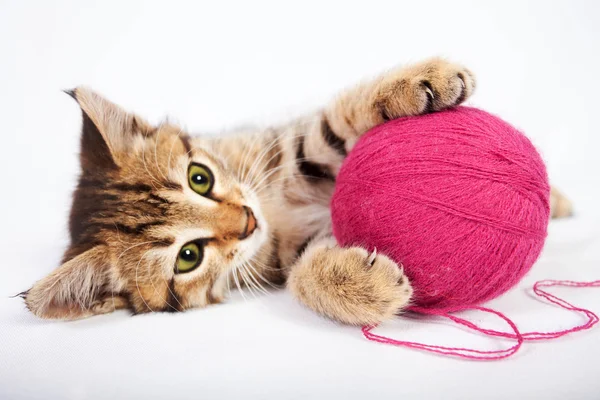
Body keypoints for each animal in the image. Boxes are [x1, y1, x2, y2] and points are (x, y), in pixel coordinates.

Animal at [21, 58, 568, 324]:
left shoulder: (289, 147)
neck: (275, 211)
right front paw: (366, 286)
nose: (247, 221)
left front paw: (421, 80)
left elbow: (335, 118)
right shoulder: (286, 255)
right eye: (188, 257)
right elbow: (306, 275)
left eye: (200, 177)